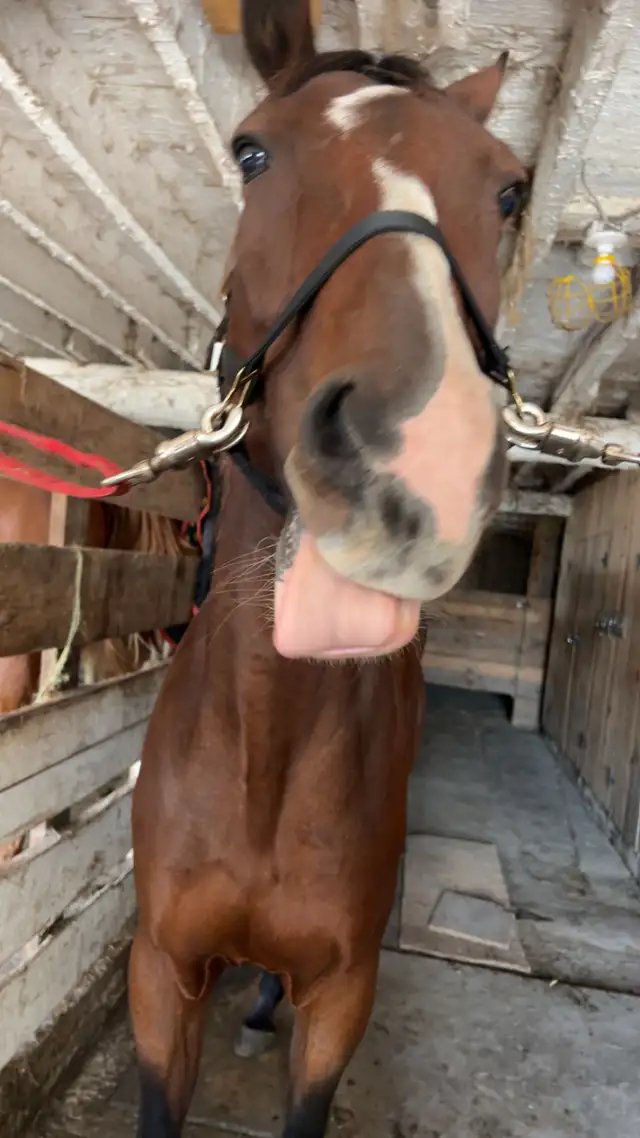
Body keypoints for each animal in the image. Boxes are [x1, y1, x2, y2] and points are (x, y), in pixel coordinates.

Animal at [129, 3, 528, 1136]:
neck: (264, 748)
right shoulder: (159, 977)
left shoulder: (342, 1001)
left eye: (508, 189)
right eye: (251, 152)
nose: (416, 456)